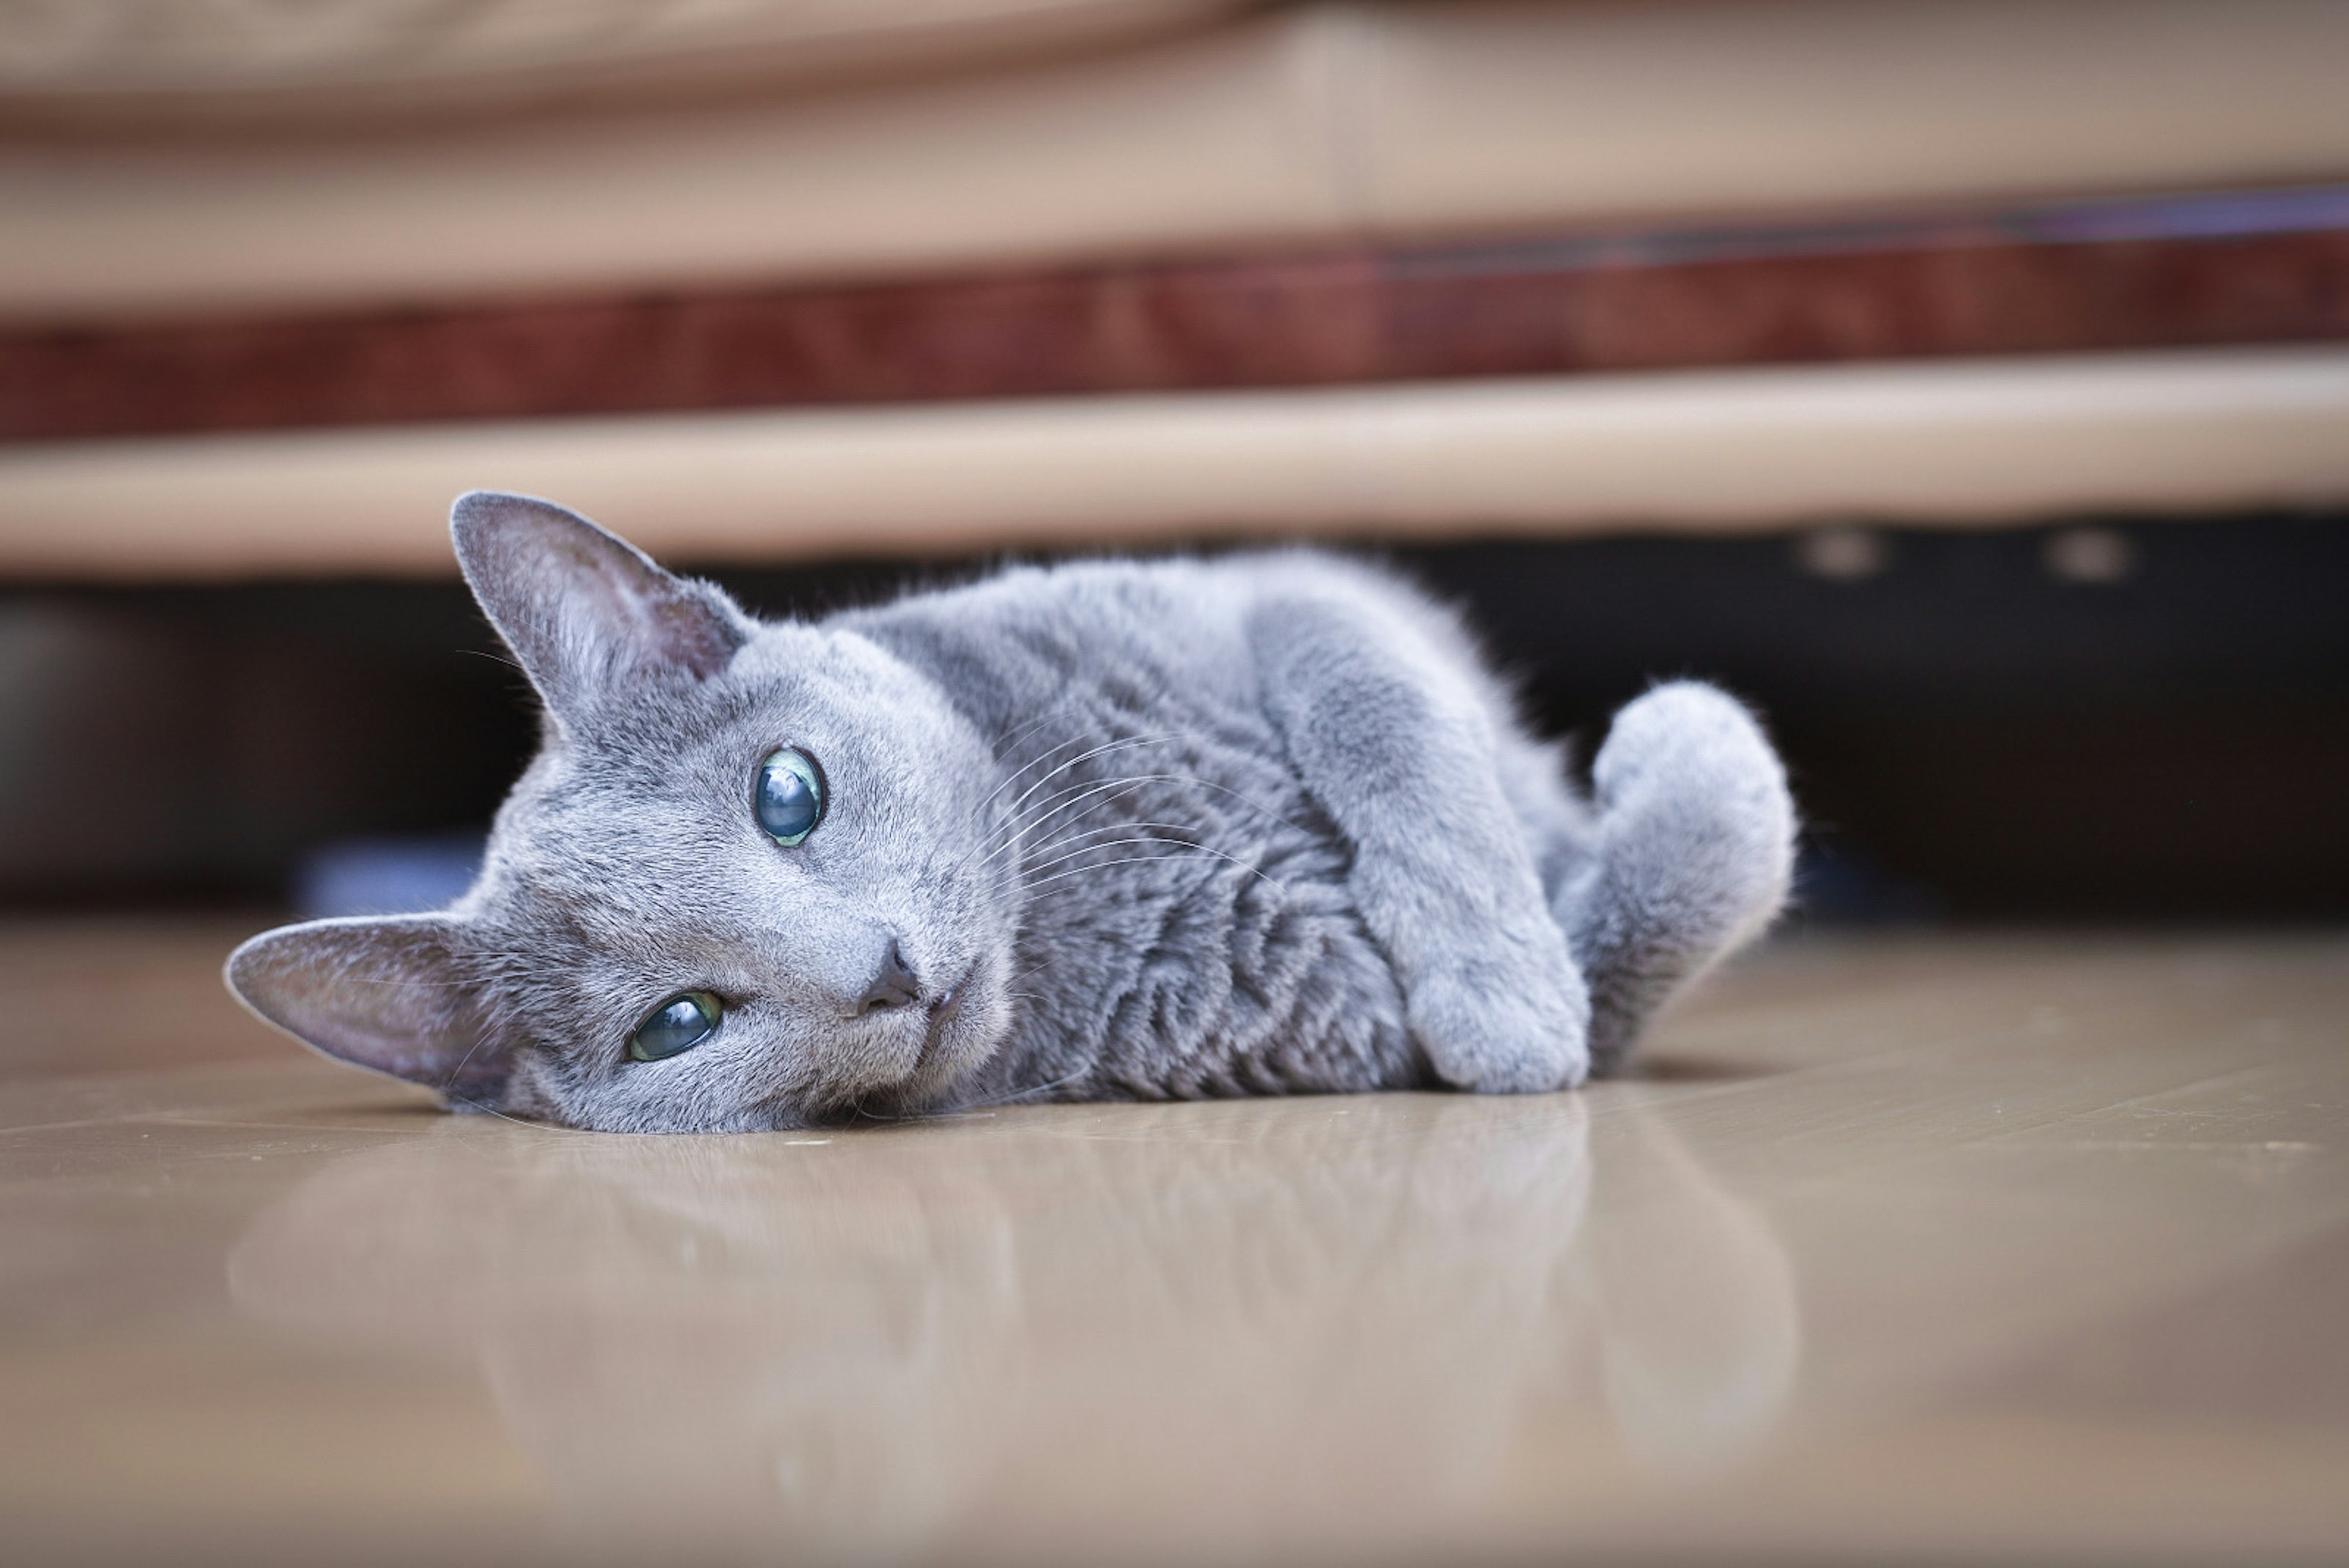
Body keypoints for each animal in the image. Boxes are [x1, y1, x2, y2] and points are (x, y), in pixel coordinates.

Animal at [224, 491, 1794, 1128]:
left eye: (787, 794)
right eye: (677, 1025)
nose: (883, 973)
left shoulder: (1282, 595)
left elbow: (1388, 717)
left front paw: (1502, 986)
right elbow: (1678, 877)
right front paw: (1535, 1000)